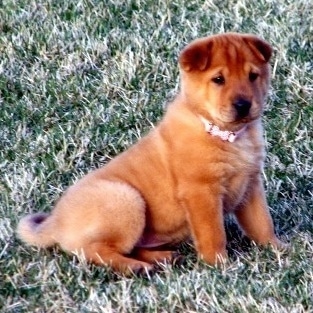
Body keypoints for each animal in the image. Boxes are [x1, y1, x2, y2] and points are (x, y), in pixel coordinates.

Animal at [17, 33, 286, 272]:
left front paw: (278, 249)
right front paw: (219, 265)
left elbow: (262, 223)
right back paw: (135, 267)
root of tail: (55, 222)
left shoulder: (251, 185)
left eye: (253, 76)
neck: (228, 136)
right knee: (95, 250)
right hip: (127, 201)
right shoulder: (202, 192)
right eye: (218, 79)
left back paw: (164, 257)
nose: (243, 105)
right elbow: (213, 234)